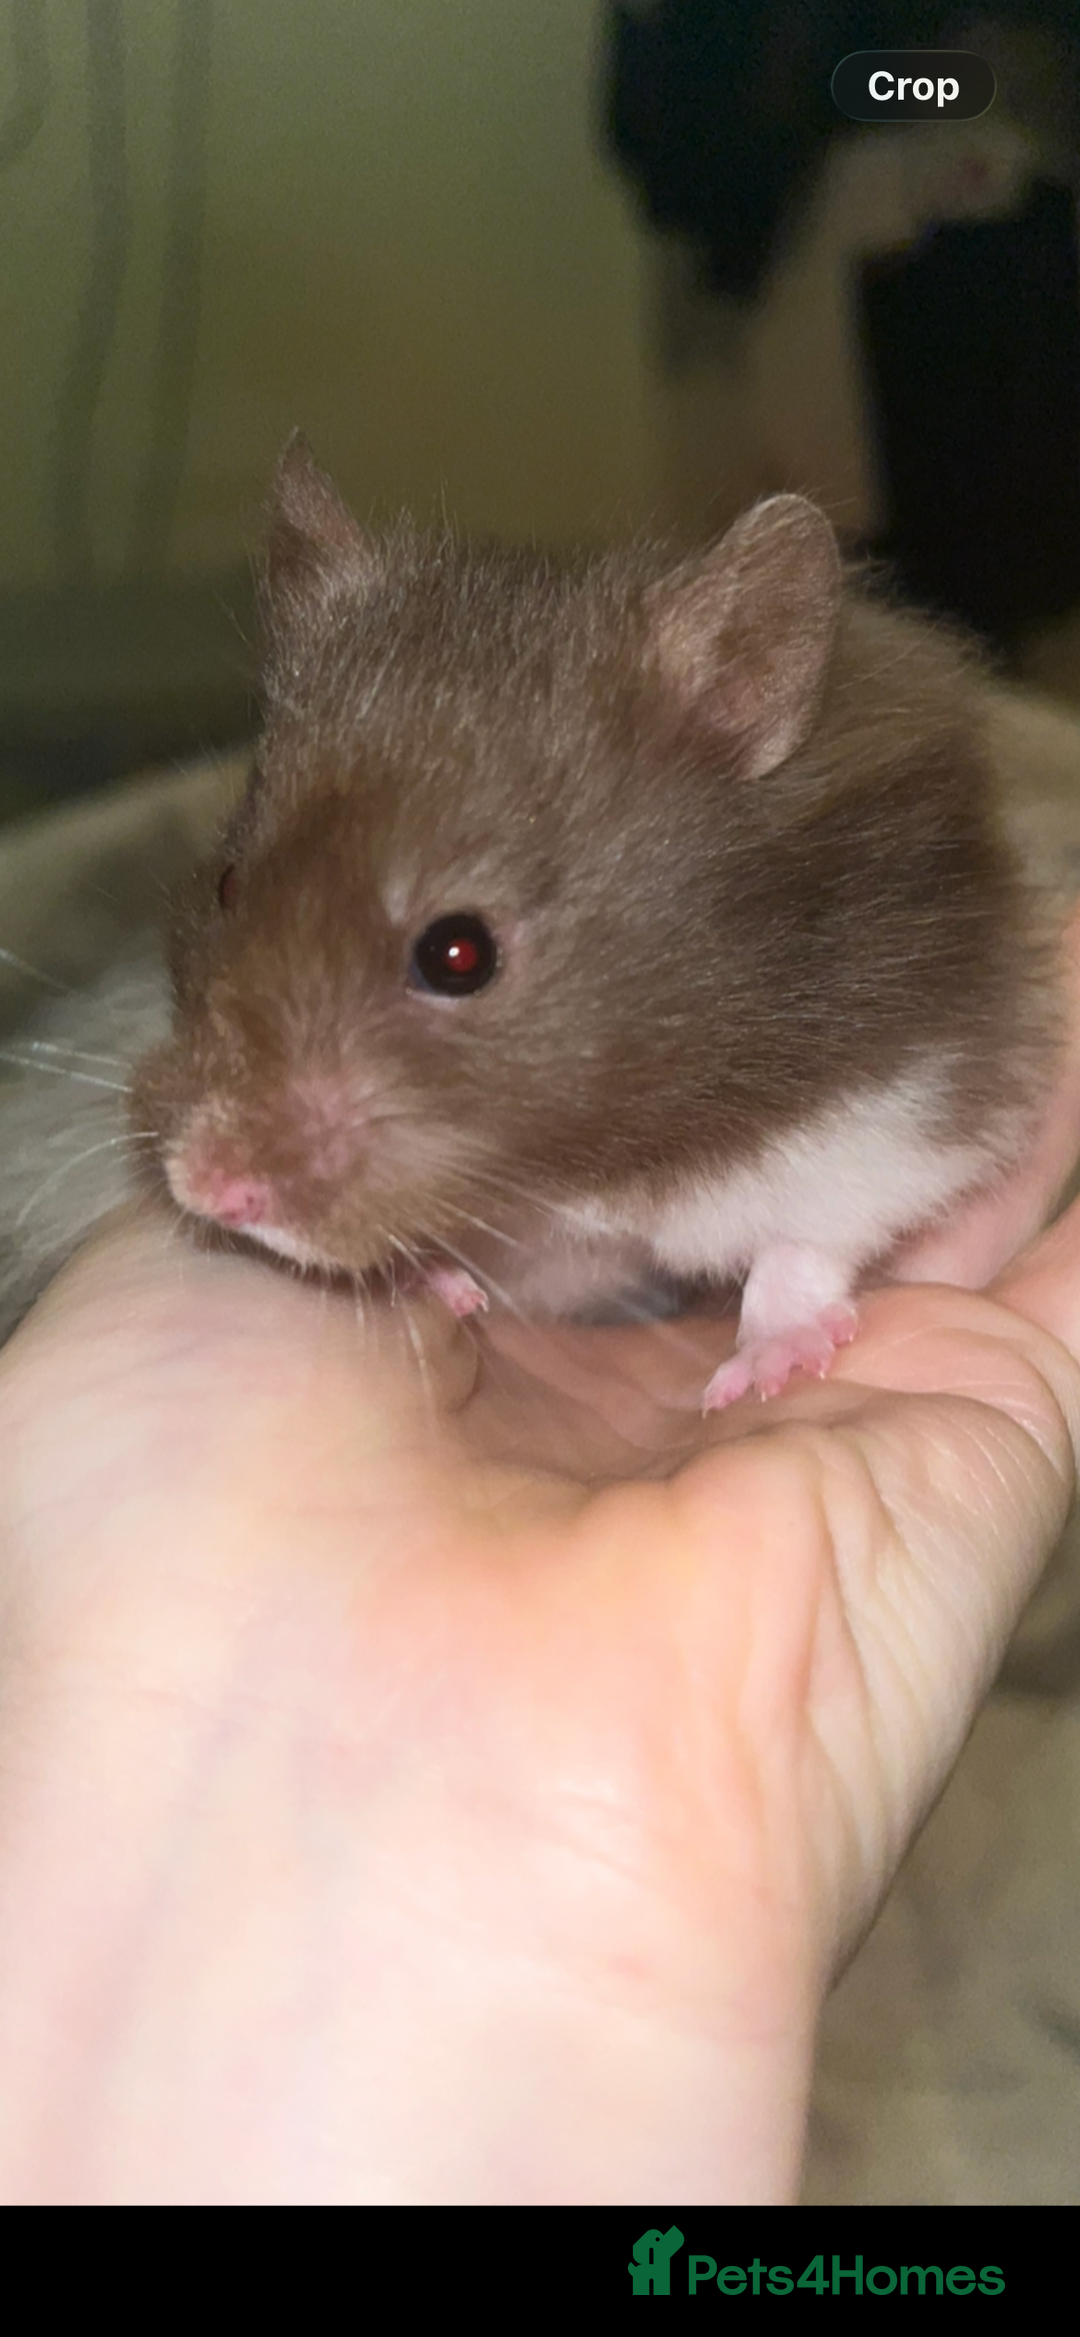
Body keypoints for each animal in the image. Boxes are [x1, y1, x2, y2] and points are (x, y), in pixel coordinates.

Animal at [0, 439, 1067, 1404]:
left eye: (458, 953)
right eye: (226, 887)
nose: (206, 1186)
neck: (591, 1154)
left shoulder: (907, 1102)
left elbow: (805, 1242)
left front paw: (763, 1371)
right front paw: (431, 1277)